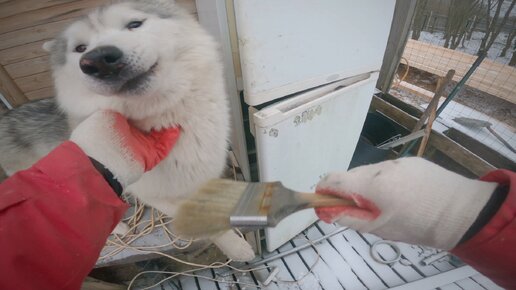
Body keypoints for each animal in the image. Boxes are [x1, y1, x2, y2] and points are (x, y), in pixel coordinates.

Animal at [0, 0, 254, 262]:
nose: (98, 60)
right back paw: (119, 227)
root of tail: (5, 117)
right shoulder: (157, 197)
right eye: (80, 48)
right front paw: (236, 247)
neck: (163, 117)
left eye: (134, 24)